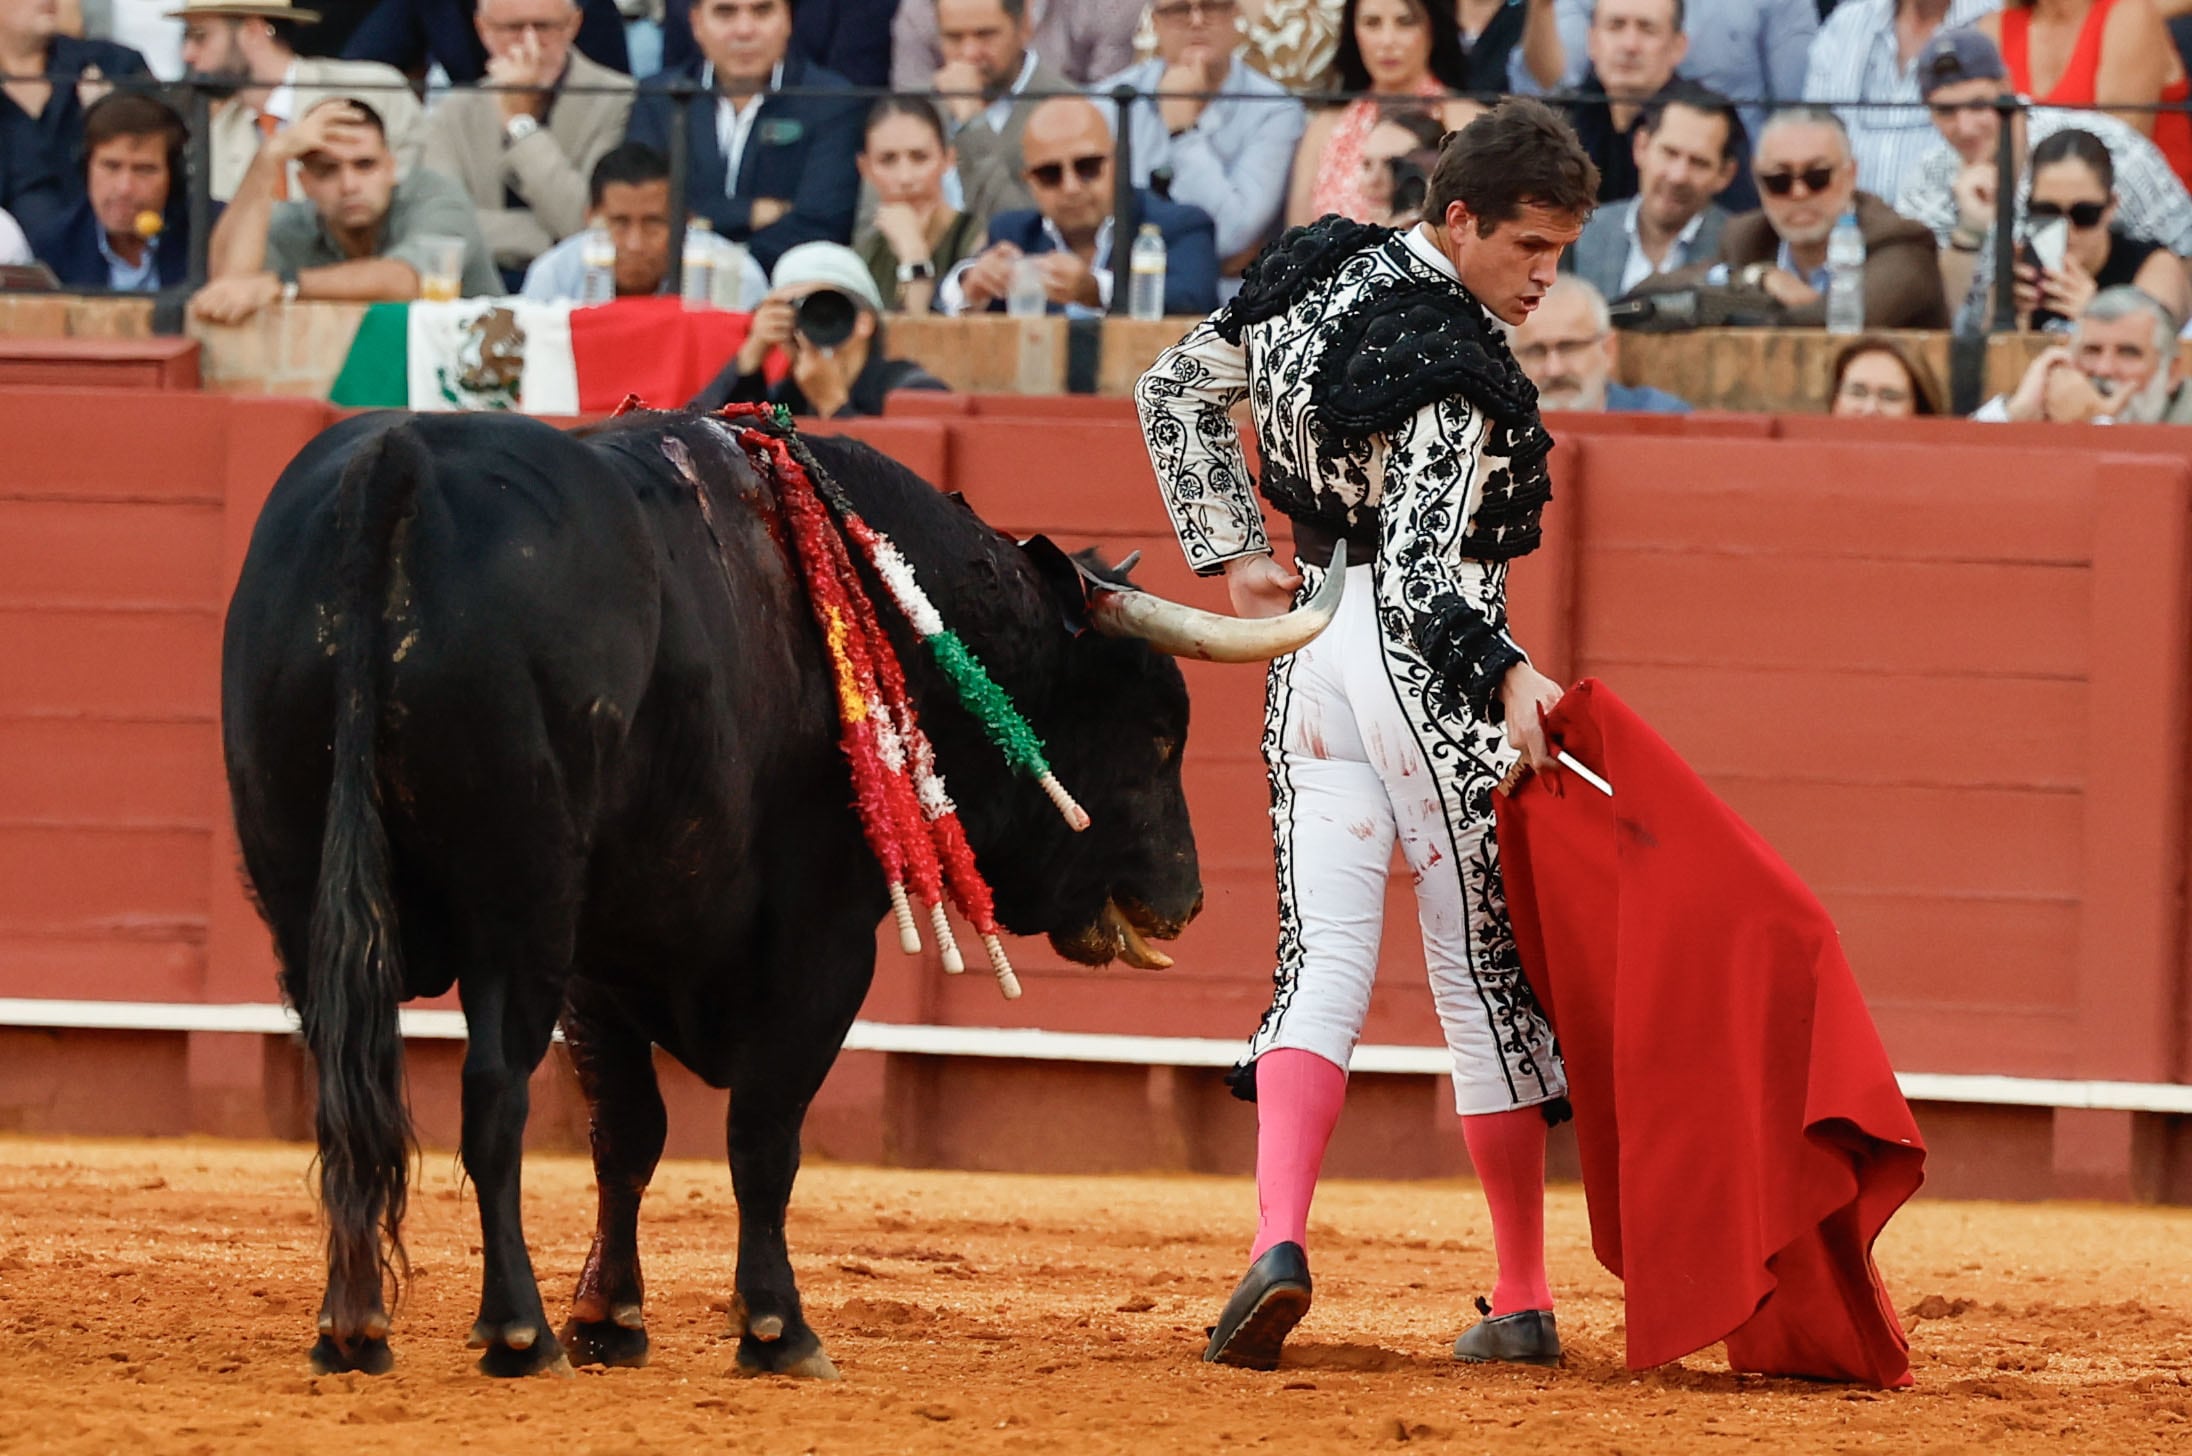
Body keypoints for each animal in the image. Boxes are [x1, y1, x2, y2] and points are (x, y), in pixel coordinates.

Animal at [226, 405, 1332, 1377]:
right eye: (1157, 729)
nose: (1186, 894)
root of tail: (399, 467)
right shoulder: (823, 945)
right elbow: (763, 1133)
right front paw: (774, 1328)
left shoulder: (601, 963)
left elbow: (627, 1132)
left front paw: (610, 1317)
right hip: (518, 915)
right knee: (492, 1091)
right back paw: (514, 1331)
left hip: (306, 904)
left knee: (345, 1081)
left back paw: (354, 1325)